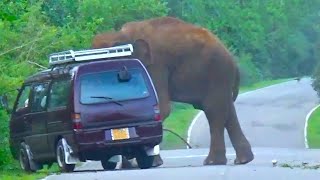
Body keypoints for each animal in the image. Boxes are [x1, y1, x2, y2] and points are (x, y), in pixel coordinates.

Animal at [91, 16, 254, 166]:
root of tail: (233, 60)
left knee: (213, 111)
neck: (121, 34)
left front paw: (150, 163)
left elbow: (161, 108)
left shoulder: (156, 64)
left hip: (217, 72)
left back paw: (213, 162)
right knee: (228, 111)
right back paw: (243, 160)